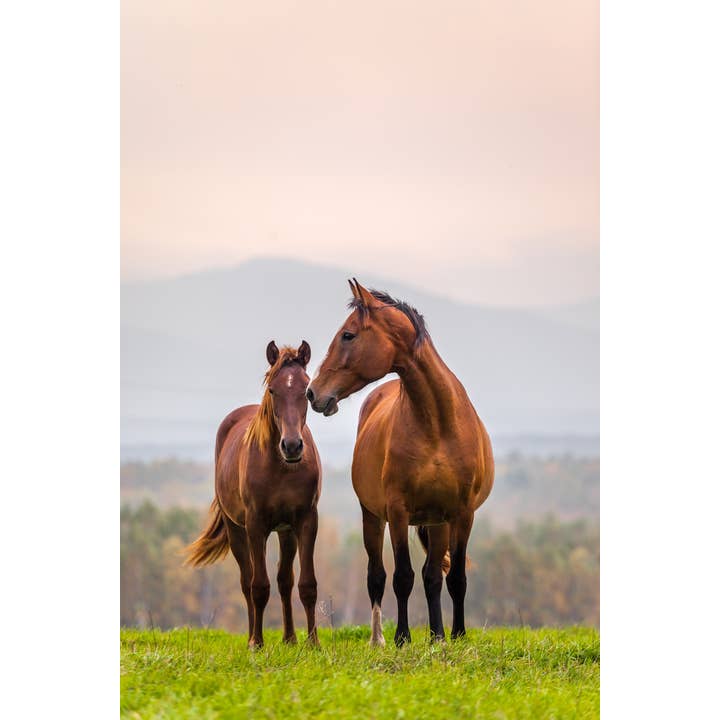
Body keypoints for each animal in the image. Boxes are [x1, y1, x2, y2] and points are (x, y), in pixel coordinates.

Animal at [185, 341, 322, 648]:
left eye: (305, 389)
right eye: (273, 389)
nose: (292, 446)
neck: (281, 467)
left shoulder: (306, 521)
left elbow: (306, 584)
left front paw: (313, 644)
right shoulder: (256, 525)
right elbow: (258, 586)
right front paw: (257, 644)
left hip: (285, 532)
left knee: (285, 581)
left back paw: (290, 638)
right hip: (237, 530)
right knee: (247, 581)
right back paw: (251, 637)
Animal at [306, 280, 493, 646]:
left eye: (348, 335)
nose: (312, 393)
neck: (438, 424)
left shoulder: (460, 513)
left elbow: (453, 577)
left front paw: (453, 635)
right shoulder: (397, 511)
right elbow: (402, 576)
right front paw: (402, 638)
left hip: (438, 522)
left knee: (433, 575)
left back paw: (436, 634)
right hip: (373, 517)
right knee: (377, 575)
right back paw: (378, 638)